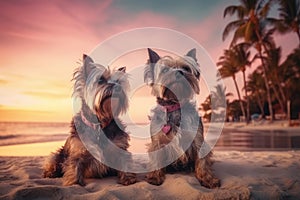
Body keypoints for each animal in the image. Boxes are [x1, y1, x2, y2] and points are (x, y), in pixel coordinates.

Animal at [42, 54, 137, 186]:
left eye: (118, 81)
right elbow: (74, 167)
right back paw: (50, 173)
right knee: (53, 160)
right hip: (59, 154)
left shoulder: (120, 147)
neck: (100, 124)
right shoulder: (78, 151)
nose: (117, 87)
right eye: (100, 80)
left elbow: (125, 162)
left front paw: (128, 178)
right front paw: (75, 182)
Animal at [144, 47, 219, 188]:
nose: (179, 72)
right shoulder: (158, 142)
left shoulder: (197, 140)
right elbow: (156, 158)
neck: (174, 106)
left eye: (186, 68)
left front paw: (207, 179)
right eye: (165, 70)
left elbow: (202, 162)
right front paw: (155, 177)